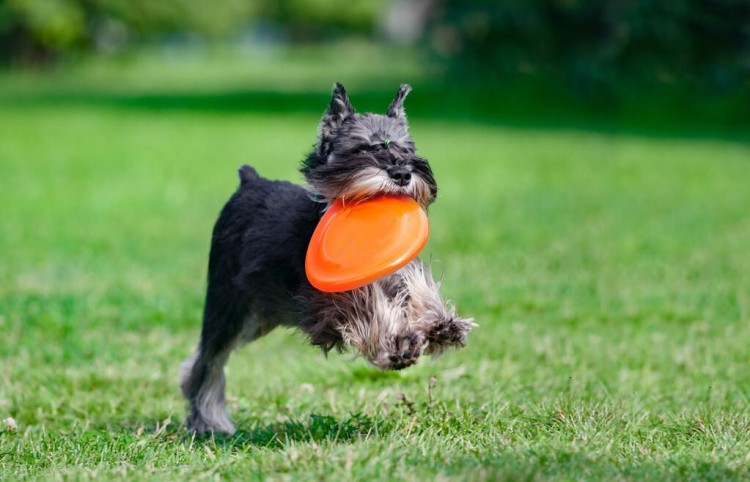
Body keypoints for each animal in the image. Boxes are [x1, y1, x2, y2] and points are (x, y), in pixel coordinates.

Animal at [181, 82, 476, 434]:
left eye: (406, 149)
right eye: (361, 149)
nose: (402, 172)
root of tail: (249, 180)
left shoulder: (397, 273)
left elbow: (418, 289)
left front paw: (442, 324)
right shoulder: (324, 304)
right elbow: (366, 307)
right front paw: (397, 342)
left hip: (258, 317)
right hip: (227, 305)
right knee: (208, 360)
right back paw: (208, 421)